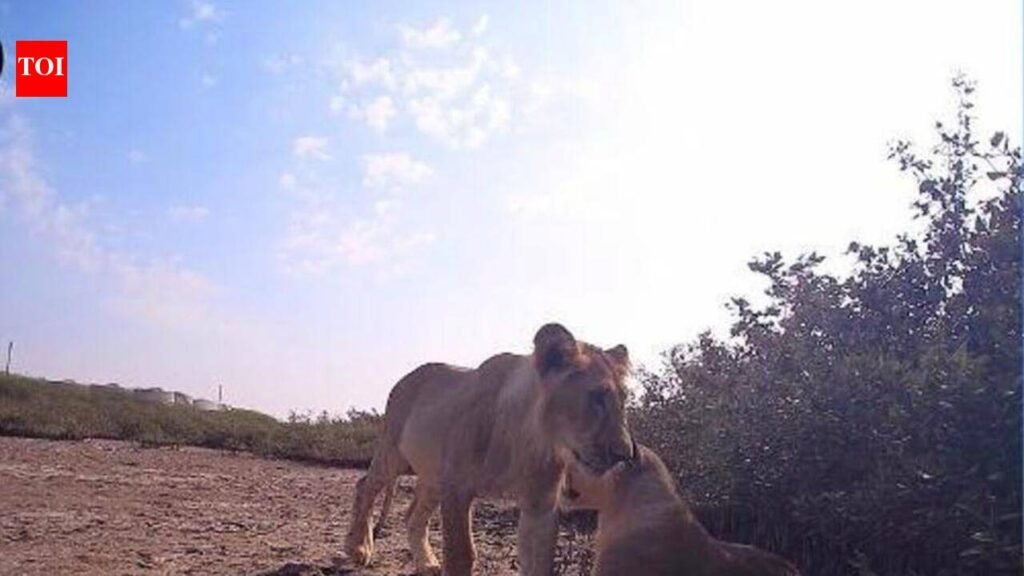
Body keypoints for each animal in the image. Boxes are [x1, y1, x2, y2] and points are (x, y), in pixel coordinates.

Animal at [344, 323, 635, 576]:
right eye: (597, 397)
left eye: (624, 400)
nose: (625, 454)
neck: (529, 442)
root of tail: (406, 378)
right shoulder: (457, 487)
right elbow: (461, 555)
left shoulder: (541, 504)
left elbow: (540, 562)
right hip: (394, 453)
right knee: (365, 485)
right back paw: (358, 548)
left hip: (434, 476)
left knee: (412, 516)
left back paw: (426, 563)